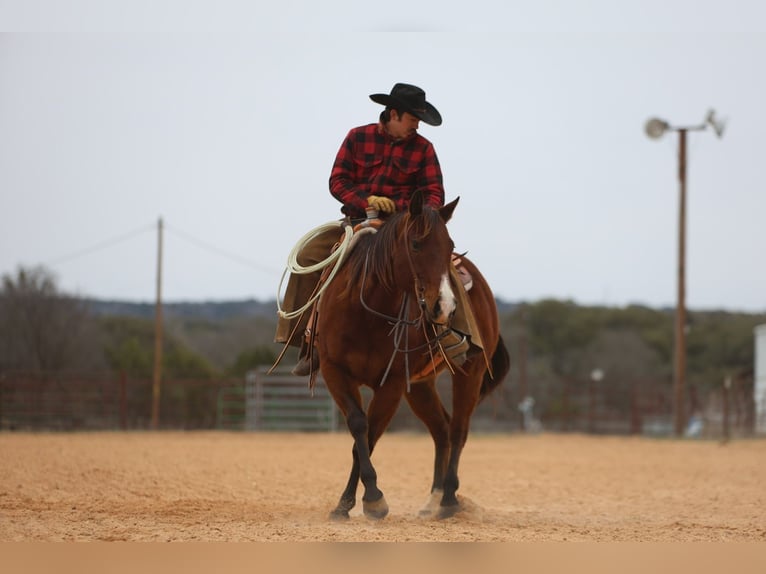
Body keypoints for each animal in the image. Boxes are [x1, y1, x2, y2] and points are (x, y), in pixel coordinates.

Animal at [316, 194, 508, 520]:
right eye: (416, 244)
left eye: (450, 244)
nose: (445, 307)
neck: (365, 314)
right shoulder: (335, 371)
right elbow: (358, 427)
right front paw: (345, 504)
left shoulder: (391, 384)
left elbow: (369, 437)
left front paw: (373, 499)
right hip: (420, 385)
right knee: (442, 429)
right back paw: (434, 499)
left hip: (471, 371)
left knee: (458, 429)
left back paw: (448, 500)